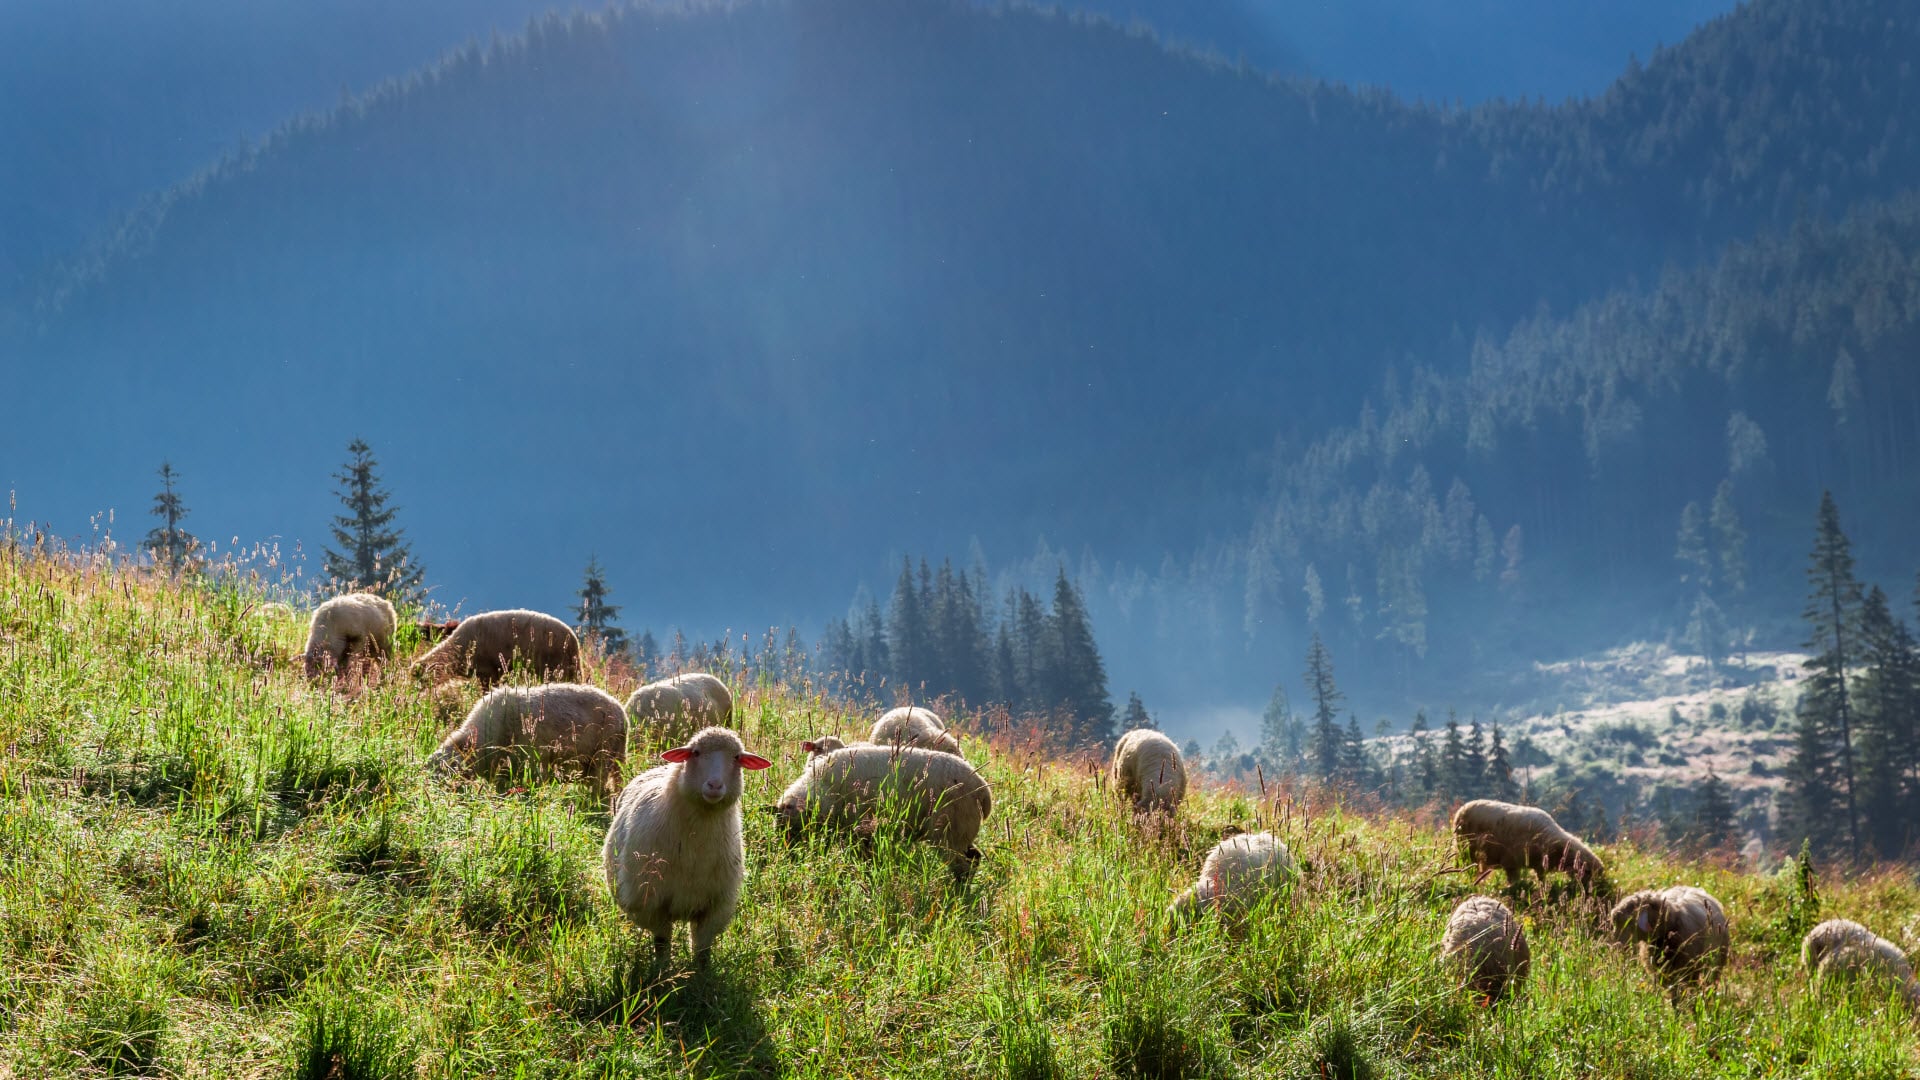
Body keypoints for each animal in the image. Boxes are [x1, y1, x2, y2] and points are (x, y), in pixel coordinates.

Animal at [603, 726, 773, 968]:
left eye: (737, 757)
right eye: (696, 752)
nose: (714, 785)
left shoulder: (716, 906)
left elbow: (702, 948)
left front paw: (701, 973)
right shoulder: (651, 903)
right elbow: (662, 943)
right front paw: (662, 971)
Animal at [770, 744, 992, 879]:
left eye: (791, 830)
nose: (788, 856)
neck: (823, 788)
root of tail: (983, 791)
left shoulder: (859, 826)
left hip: (949, 832)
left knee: (962, 867)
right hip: (961, 832)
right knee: (974, 858)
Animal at [1452, 799, 1608, 895]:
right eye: (1588, 873)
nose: (1589, 892)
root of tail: (1462, 809)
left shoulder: (1539, 864)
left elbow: (1541, 878)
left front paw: (1543, 889)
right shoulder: (1512, 861)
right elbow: (1514, 880)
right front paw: (1513, 889)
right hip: (1465, 847)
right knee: (1464, 865)